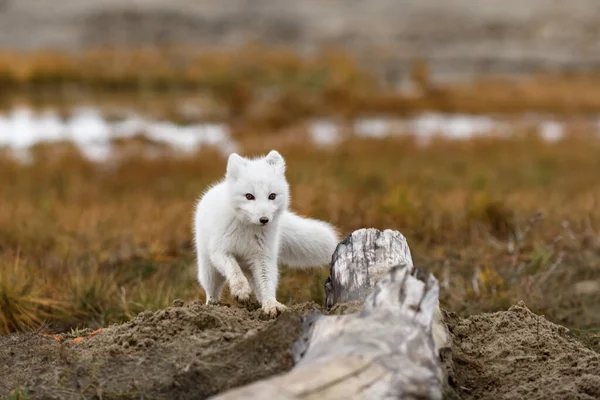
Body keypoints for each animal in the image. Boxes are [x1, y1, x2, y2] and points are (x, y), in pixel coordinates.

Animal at [195, 149, 340, 316]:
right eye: (249, 196)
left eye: (272, 196)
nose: (264, 219)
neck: (248, 230)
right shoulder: (220, 251)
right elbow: (234, 271)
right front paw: (241, 291)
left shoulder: (263, 256)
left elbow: (267, 283)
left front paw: (272, 305)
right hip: (208, 270)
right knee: (212, 290)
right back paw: (210, 306)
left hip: (251, 267)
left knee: (258, 289)